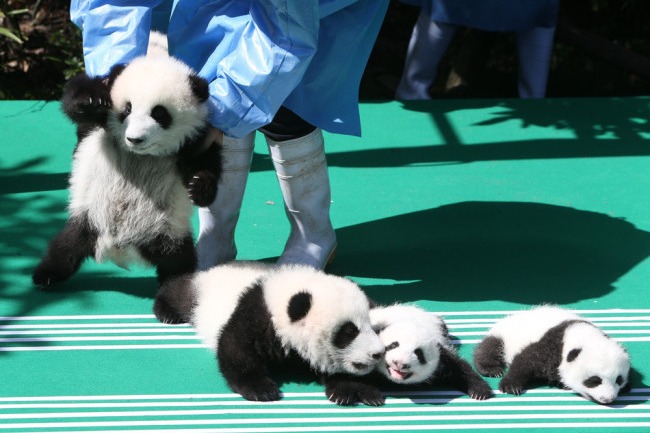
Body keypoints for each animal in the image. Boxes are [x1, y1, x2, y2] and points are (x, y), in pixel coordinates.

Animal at [32, 54, 221, 288]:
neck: (141, 154)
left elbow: (207, 162)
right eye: (127, 109)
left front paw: (198, 186)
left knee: (178, 264)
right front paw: (92, 100)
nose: (134, 139)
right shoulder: (95, 126)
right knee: (65, 247)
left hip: (170, 233)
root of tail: (119, 248)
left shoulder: (195, 140)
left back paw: (176, 287)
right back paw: (46, 275)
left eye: (159, 113)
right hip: (87, 219)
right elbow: (75, 99)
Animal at [153, 262, 387, 406]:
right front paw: (261, 389)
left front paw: (352, 390)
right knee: (180, 291)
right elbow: (236, 349)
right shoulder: (256, 315)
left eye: (371, 325)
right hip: (200, 294)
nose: (378, 353)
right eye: (349, 331)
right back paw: (166, 310)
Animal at [473, 305, 630, 404]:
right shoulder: (549, 346)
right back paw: (492, 369)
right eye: (594, 380)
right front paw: (511, 386)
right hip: (504, 334)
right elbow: (525, 362)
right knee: (489, 348)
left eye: (619, 380)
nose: (608, 399)